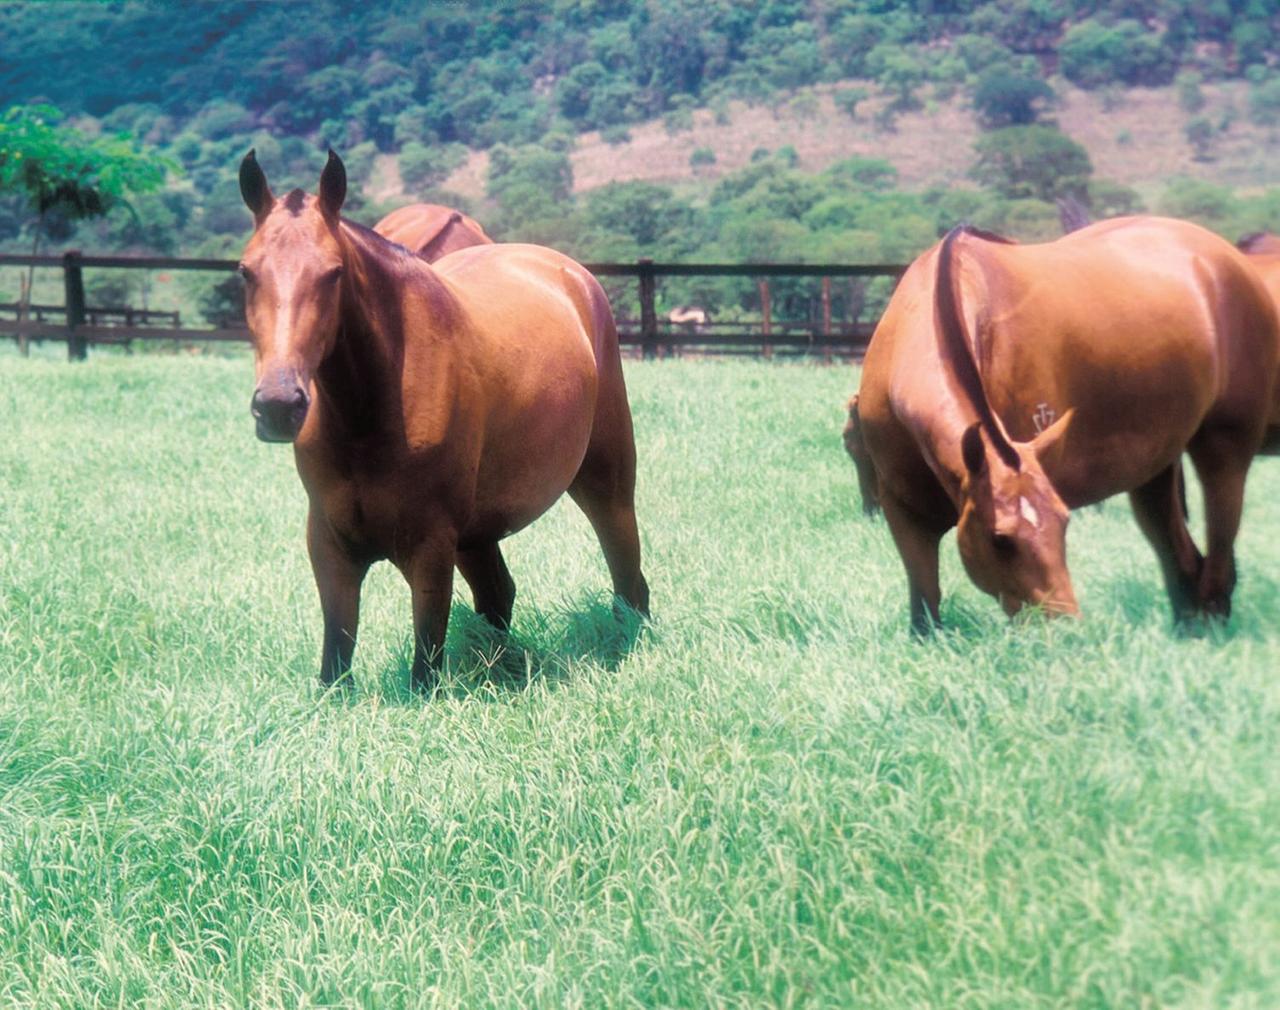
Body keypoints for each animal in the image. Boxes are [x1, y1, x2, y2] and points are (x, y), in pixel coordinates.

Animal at [238, 147, 650, 686]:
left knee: (628, 579)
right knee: (498, 594)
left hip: (605, 482)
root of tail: (570, 274)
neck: (370, 415)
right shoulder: (330, 546)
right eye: (246, 271)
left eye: (333, 273)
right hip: (478, 529)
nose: (278, 405)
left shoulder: (430, 548)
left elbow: (424, 669)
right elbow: (335, 666)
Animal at [860, 217, 1280, 629]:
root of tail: (1228, 259)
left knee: (1219, 560)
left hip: (1223, 447)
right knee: (1183, 559)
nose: (1065, 623)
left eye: (1065, 523)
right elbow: (925, 611)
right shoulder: (903, 512)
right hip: (1156, 468)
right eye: (1000, 540)